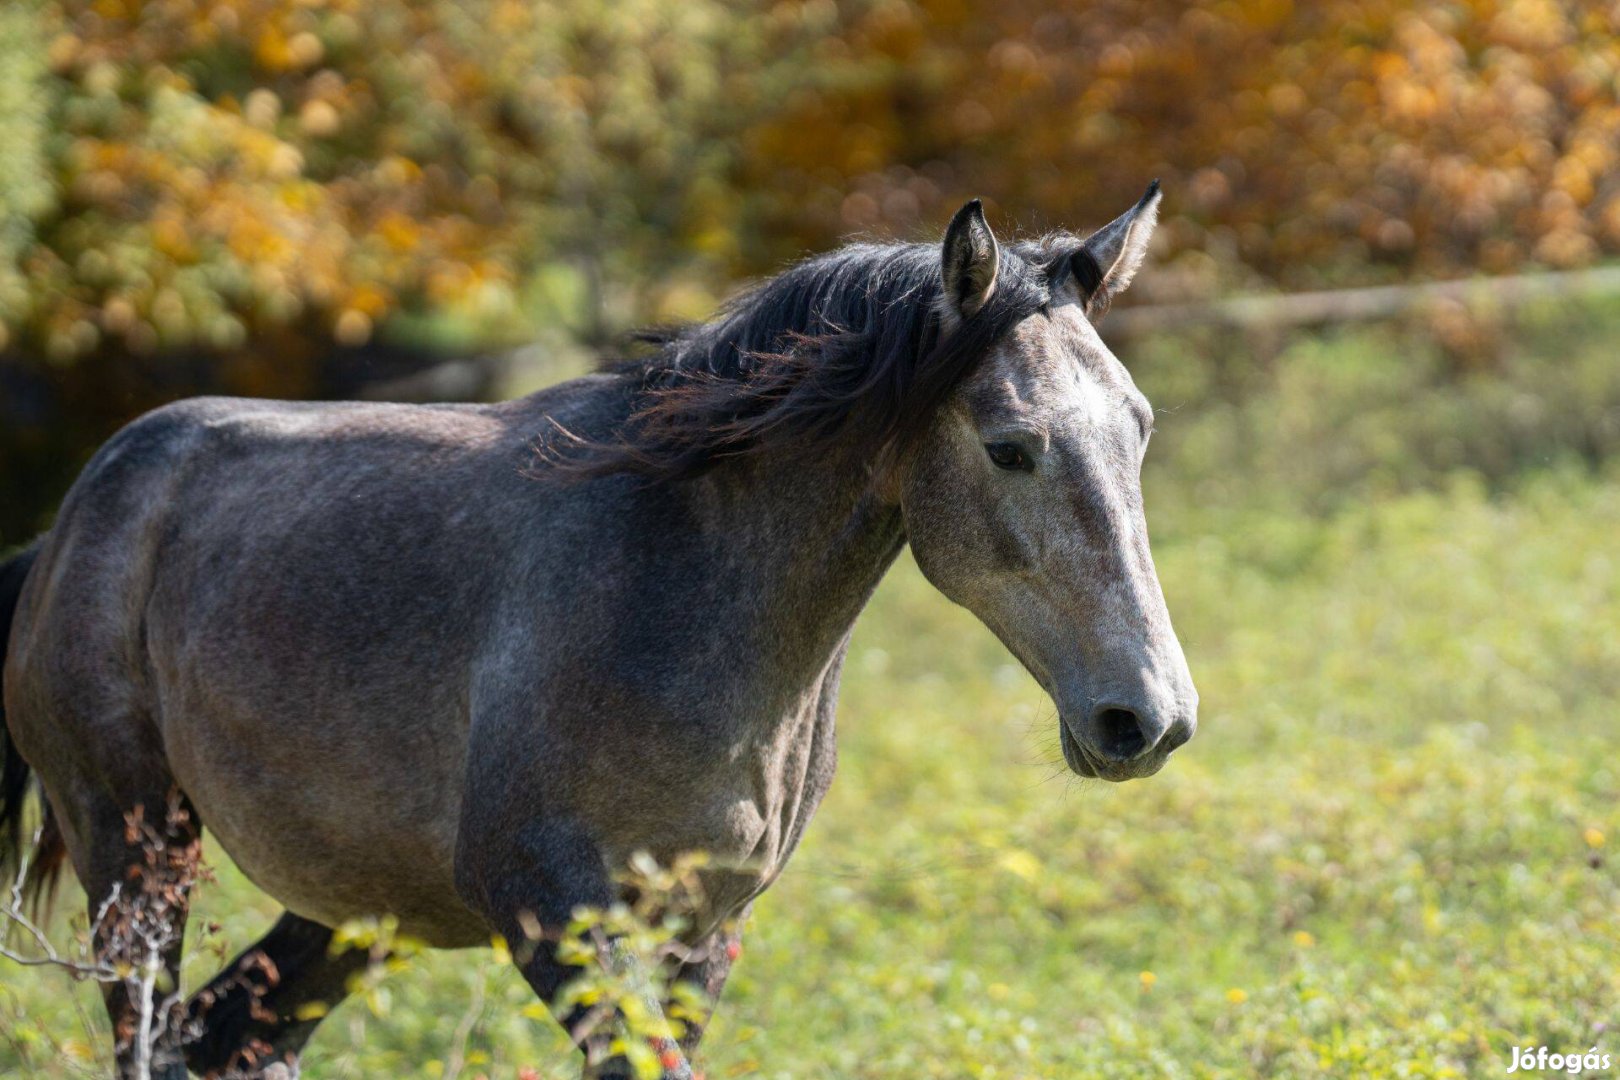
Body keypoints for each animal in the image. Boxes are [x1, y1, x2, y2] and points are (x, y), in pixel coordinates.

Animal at [0, 187, 1192, 1080]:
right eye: (1008, 446)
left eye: (1138, 424)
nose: (1149, 720)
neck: (675, 591)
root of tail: (69, 523)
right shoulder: (554, 909)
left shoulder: (702, 928)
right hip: (135, 848)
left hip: (353, 905)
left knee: (232, 1040)